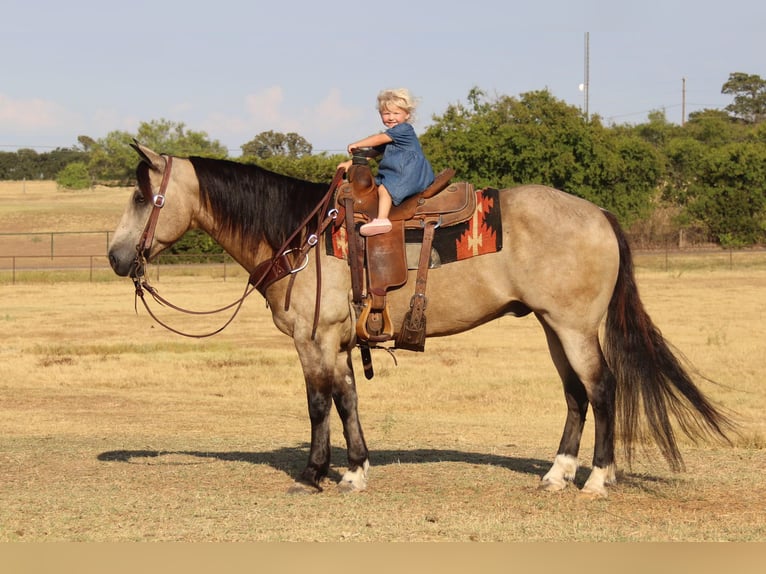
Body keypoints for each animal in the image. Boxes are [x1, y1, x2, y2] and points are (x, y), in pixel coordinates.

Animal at [109, 142, 736, 498]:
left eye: (143, 198)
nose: (116, 257)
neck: (300, 233)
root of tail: (598, 213)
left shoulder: (315, 342)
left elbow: (318, 404)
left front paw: (316, 474)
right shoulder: (339, 342)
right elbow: (348, 401)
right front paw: (355, 470)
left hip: (575, 327)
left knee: (602, 389)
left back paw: (598, 480)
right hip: (552, 326)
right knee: (575, 395)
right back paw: (557, 474)